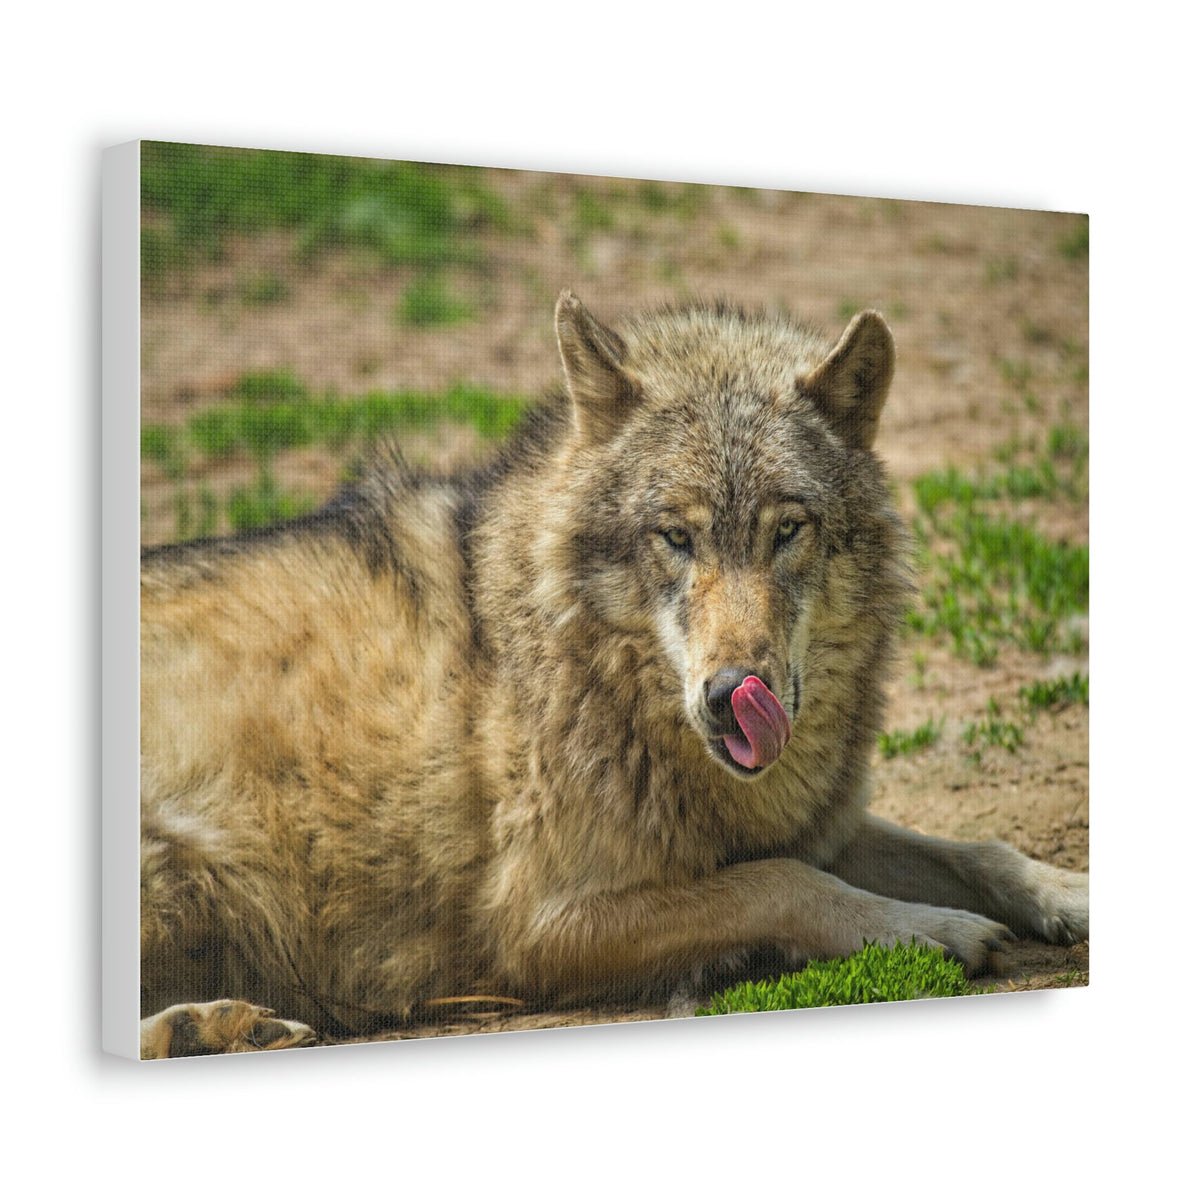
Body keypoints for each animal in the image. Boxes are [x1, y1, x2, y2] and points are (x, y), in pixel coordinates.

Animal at [138, 292, 1088, 1056]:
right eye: (676, 536)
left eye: (788, 530)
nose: (732, 697)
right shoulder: (539, 925)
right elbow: (785, 883)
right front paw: (930, 931)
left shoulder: (817, 824)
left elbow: (980, 849)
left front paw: (1067, 895)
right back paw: (203, 1028)